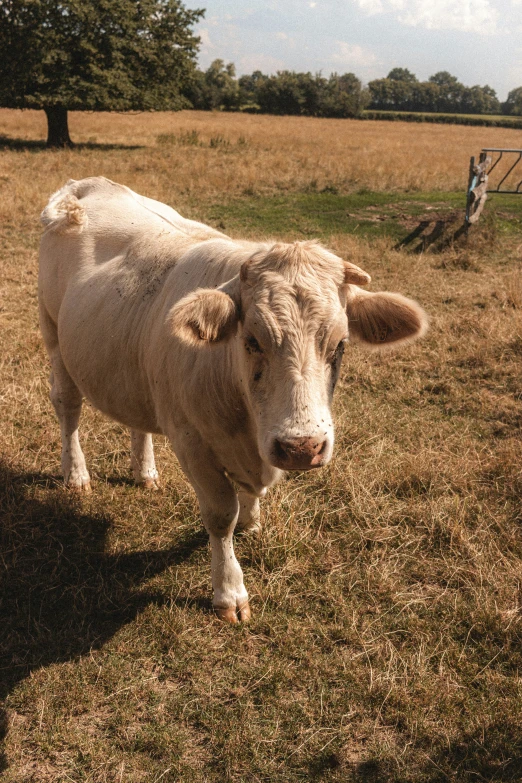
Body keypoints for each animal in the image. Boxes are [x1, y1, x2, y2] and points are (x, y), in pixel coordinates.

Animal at [38, 178, 424, 624]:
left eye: (340, 344)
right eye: (252, 340)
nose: (302, 446)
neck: (246, 425)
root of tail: (87, 185)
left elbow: (248, 496)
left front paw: (251, 521)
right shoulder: (191, 441)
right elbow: (221, 515)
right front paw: (229, 591)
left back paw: (145, 472)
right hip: (53, 334)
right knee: (68, 408)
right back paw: (76, 474)